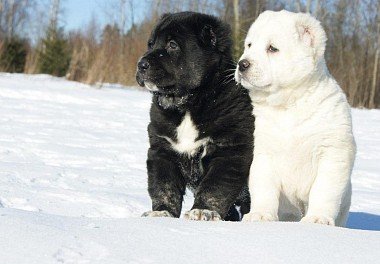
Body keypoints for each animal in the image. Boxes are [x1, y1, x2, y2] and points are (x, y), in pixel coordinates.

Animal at [135, 11, 254, 221]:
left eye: (172, 45)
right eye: (151, 44)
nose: (141, 64)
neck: (189, 104)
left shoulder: (230, 150)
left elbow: (214, 187)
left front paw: (202, 211)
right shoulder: (163, 150)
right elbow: (164, 187)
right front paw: (161, 212)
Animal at [235, 9, 356, 226]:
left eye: (272, 48)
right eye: (249, 45)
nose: (242, 64)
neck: (289, 105)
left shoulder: (333, 152)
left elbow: (324, 189)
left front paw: (317, 219)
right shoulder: (264, 152)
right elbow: (263, 187)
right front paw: (260, 215)